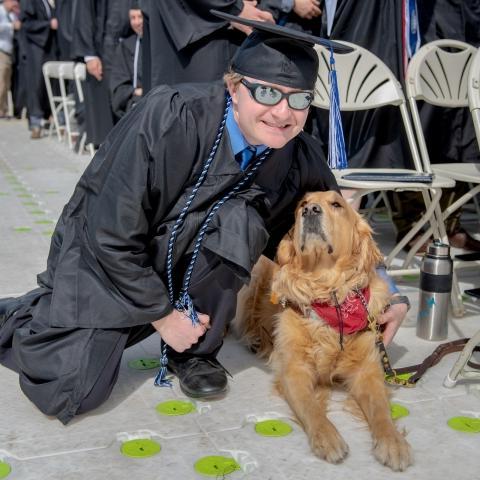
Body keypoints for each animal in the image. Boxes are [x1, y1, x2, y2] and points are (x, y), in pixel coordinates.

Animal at [236, 189, 412, 470]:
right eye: (302, 205)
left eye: (337, 204)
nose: (311, 211)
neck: (327, 291)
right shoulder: (294, 370)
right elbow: (311, 407)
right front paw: (328, 438)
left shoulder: (368, 370)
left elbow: (381, 410)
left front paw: (393, 442)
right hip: (252, 282)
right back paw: (253, 339)